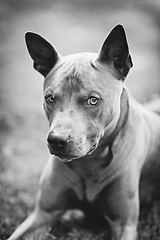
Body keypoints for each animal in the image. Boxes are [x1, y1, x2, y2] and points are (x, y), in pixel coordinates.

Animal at [6, 24, 160, 240]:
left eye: (93, 100)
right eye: (49, 98)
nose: (56, 140)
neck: (90, 163)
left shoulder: (124, 224)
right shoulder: (42, 214)